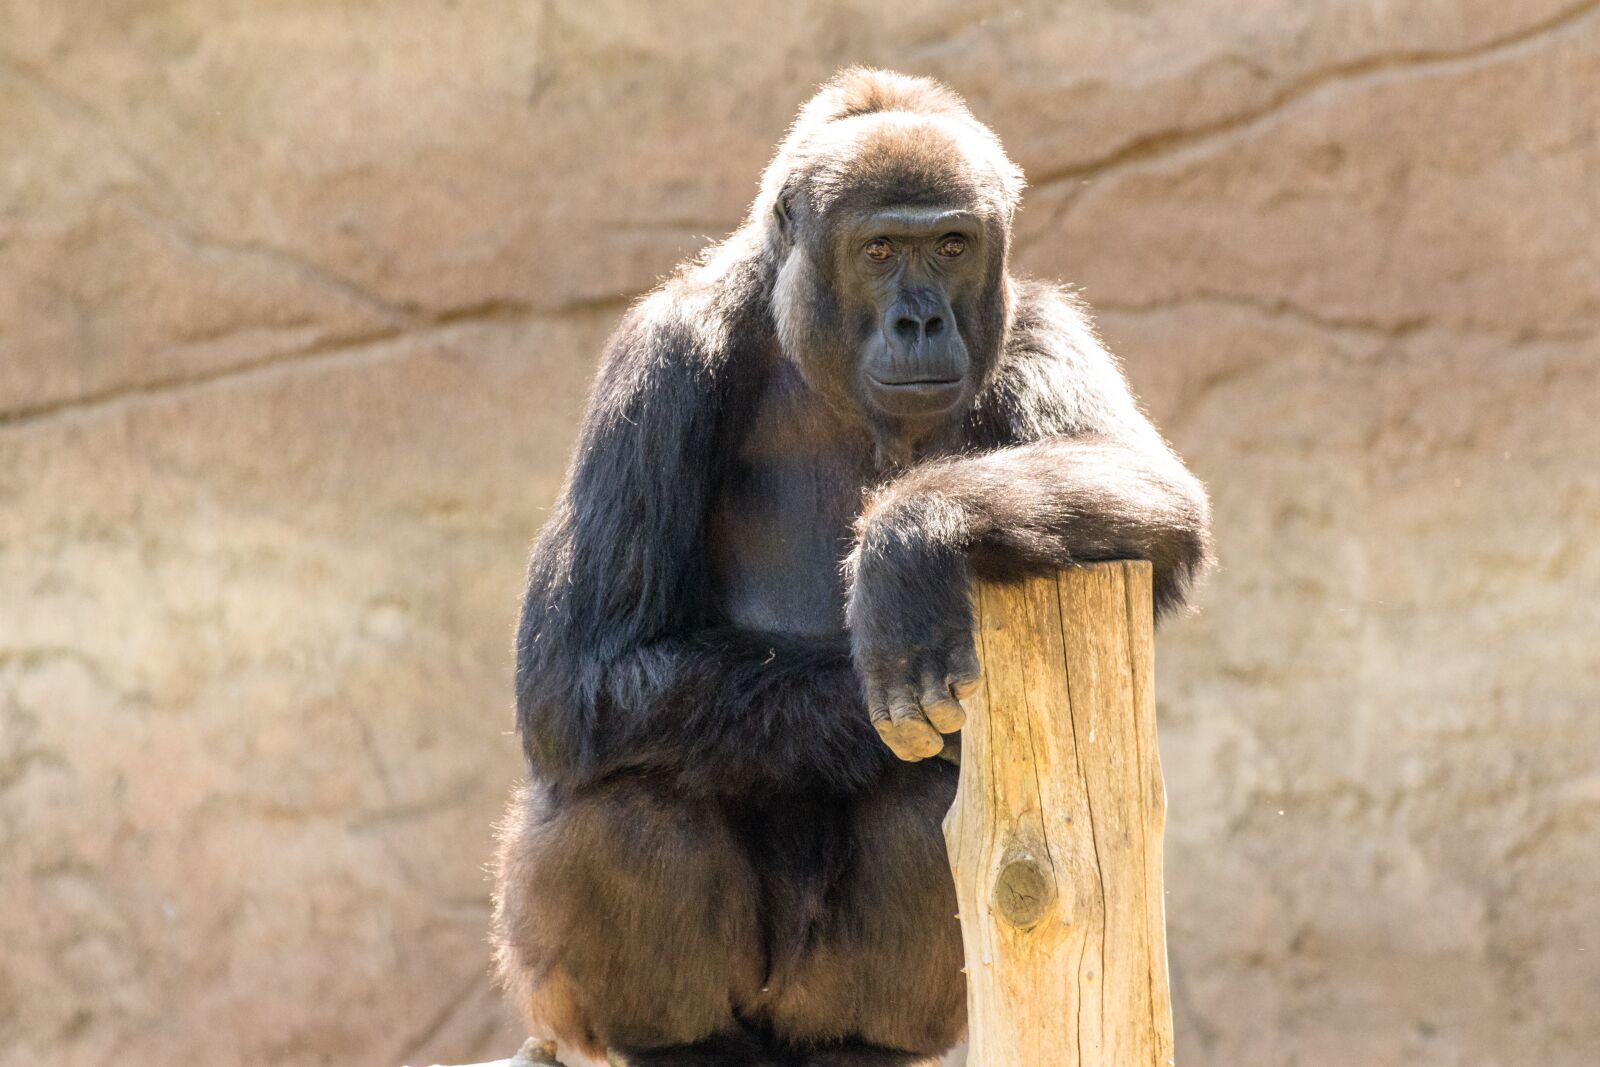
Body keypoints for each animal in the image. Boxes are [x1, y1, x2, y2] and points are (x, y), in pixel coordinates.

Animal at [493, 68, 1211, 1067]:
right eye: (879, 251)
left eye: (950, 245)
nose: (921, 319)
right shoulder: (662, 356)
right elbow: (579, 669)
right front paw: (875, 664)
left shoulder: (1037, 324)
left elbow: (1154, 496)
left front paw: (909, 542)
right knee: (630, 790)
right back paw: (679, 1042)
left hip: (826, 998)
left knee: (934, 805)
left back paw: (863, 1039)